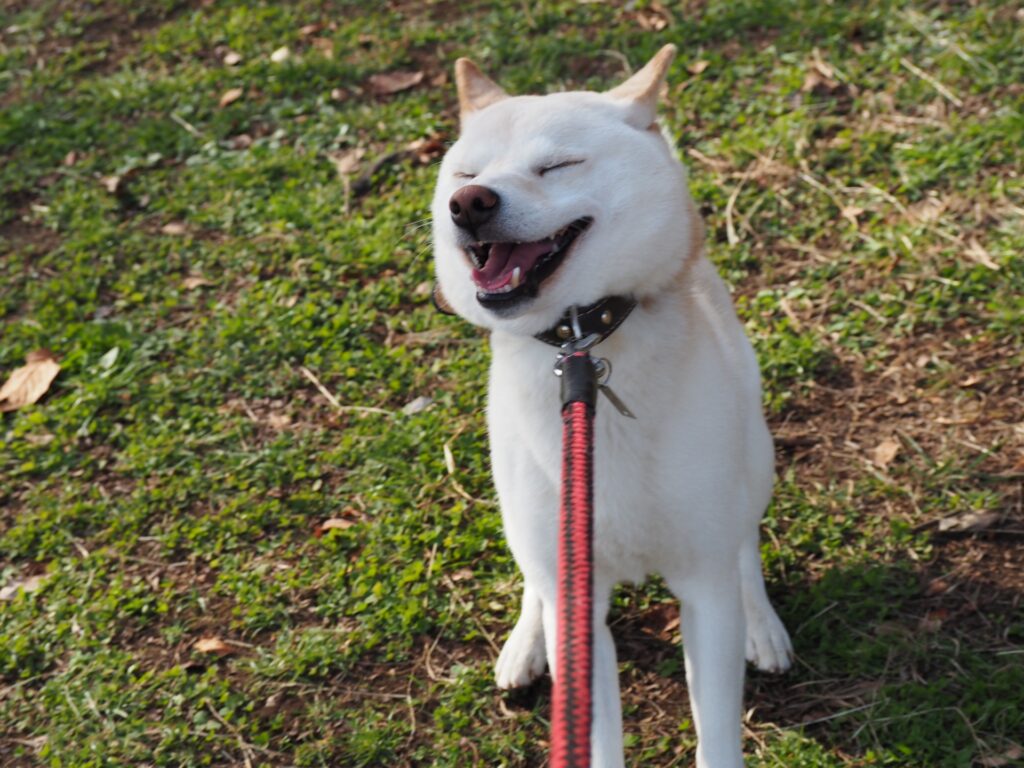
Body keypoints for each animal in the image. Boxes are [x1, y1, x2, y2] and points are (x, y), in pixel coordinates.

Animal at [430, 45, 790, 765]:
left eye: (558, 165)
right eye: (466, 173)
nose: (468, 203)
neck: (583, 338)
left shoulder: (704, 587)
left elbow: (717, 732)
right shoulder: (579, 604)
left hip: (756, 456)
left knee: (744, 541)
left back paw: (762, 624)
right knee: (535, 580)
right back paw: (526, 642)